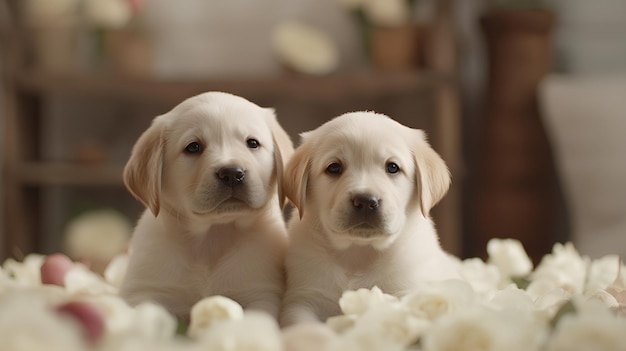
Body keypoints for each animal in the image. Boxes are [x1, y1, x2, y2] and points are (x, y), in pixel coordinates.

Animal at [119, 92, 292, 320]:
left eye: (252, 143)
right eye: (193, 147)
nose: (232, 173)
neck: (213, 237)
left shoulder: (261, 293)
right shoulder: (143, 291)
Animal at [280, 111, 456, 326]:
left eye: (392, 167)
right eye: (334, 168)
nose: (365, 201)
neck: (359, 253)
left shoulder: (408, 292)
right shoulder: (303, 298)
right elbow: (306, 326)